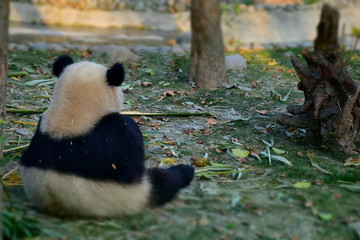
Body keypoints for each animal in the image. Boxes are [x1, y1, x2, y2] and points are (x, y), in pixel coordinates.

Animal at [19, 54, 194, 218]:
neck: (71, 114)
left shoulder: (42, 127)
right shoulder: (118, 133)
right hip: (135, 195)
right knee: (164, 181)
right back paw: (186, 171)